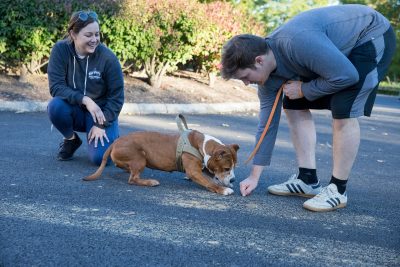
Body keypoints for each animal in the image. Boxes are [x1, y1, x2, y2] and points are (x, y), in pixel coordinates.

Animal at [84, 114, 239, 196]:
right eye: (227, 168)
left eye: (234, 167)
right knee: (133, 179)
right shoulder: (194, 171)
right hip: (140, 158)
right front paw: (223, 189)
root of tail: (115, 142)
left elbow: (211, 177)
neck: (202, 146)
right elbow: (209, 182)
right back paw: (149, 182)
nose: (233, 180)